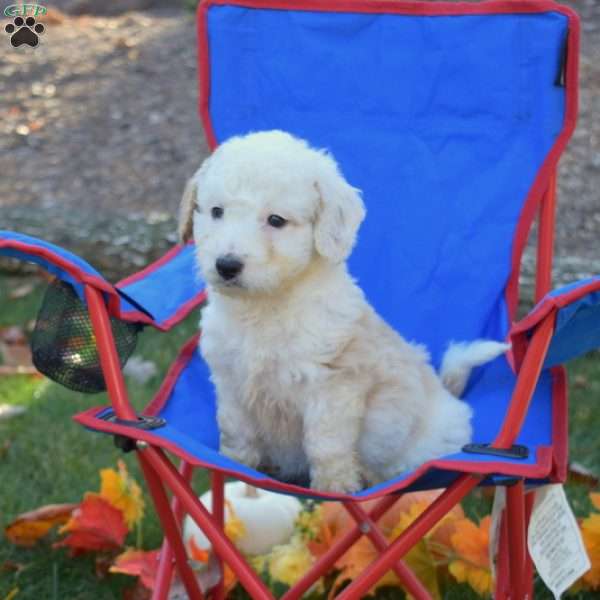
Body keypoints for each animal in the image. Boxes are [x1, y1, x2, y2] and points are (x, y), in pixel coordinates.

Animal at [180, 130, 508, 492]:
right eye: (216, 212)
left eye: (276, 220)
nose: (226, 265)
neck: (266, 306)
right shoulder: (229, 381)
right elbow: (235, 435)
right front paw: (233, 469)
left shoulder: (333, 388)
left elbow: (326, 448)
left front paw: (333, 490)